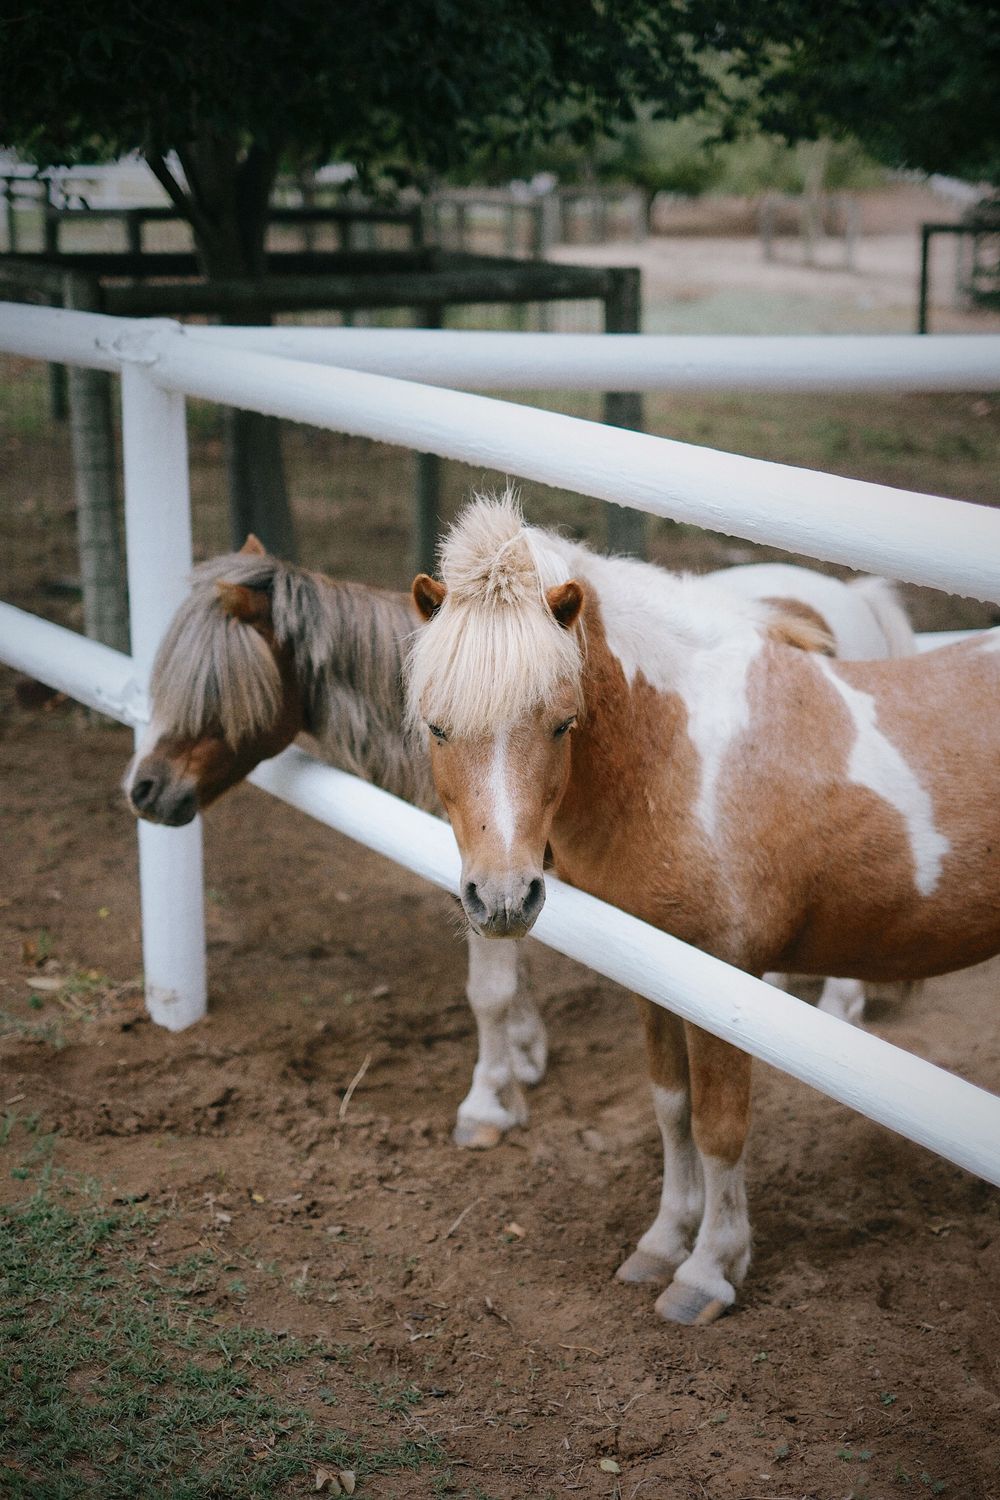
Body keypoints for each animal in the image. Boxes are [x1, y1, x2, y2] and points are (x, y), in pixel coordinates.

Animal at [406, 492, 1000, 1325]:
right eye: (438, 725)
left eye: (560, 720)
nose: (501, 900)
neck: (682, 759)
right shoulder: (658, 971)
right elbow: (670, 1106)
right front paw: (663, 1242)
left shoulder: (727, 977)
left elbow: (720, 1127)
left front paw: (709, 1271)